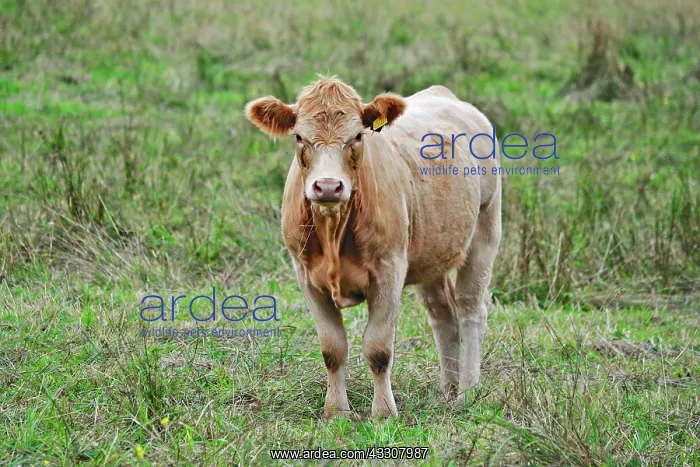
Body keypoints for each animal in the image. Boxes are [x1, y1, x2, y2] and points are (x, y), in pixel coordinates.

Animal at [245, 76, 501, 418]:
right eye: (299, 136)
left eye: (357, 136)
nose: (328, 186)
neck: (334, 230)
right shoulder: (306, 277)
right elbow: (332, 348)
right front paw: (336, 411)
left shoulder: (389, 270)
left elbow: (378, 349)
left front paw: (383, 412)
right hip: (430, 253)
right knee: (443, 314)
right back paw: (447, 391)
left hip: (485, 230)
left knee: (471, 309)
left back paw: (467, 392)